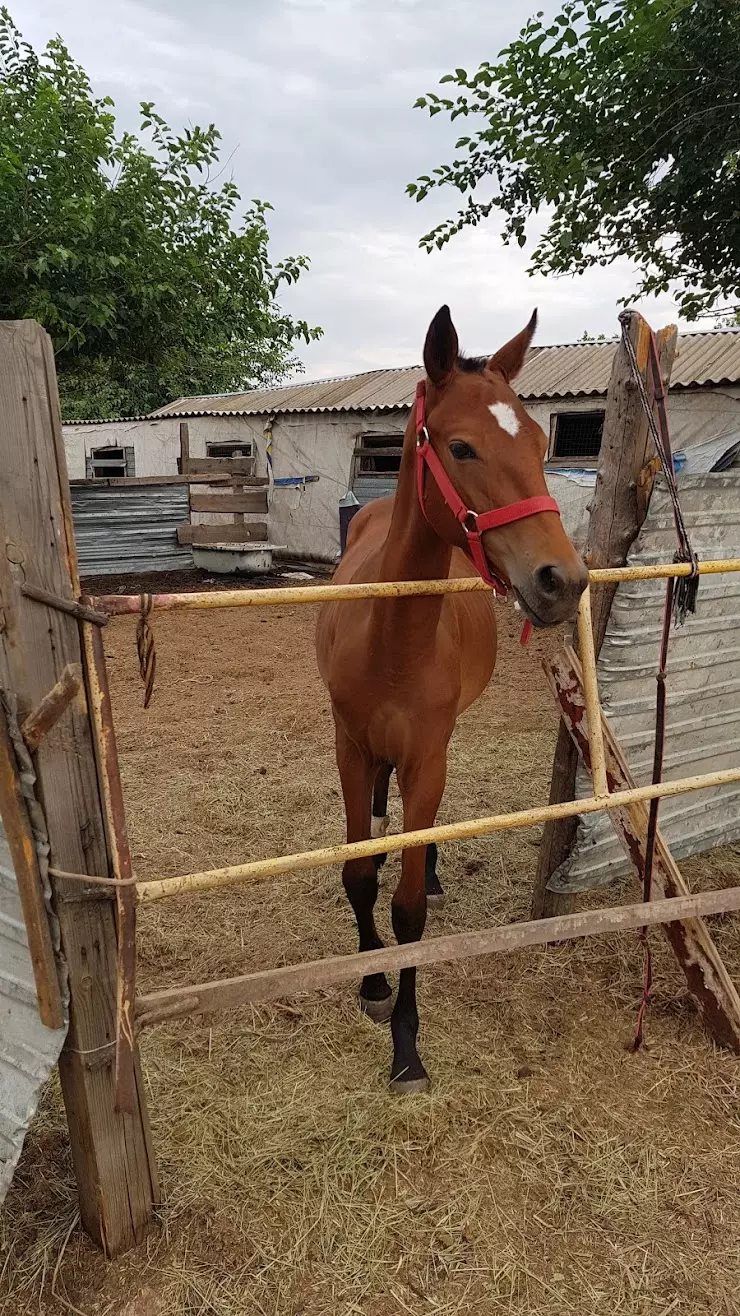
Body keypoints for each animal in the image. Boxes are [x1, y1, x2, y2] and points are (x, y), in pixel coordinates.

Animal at [313, 307, 584, 1089]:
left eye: (537, 442)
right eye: (461, 447)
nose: (562, 580)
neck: (391, 641)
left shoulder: (427, 754)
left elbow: (408, 911)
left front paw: (407, 1045)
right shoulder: (349, 748)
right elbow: (359, 874)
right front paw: (373, 982)